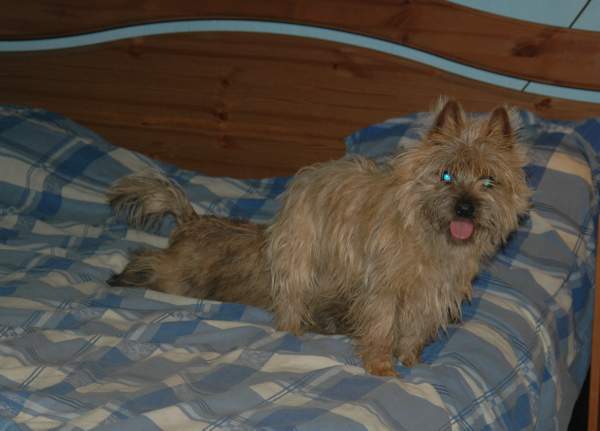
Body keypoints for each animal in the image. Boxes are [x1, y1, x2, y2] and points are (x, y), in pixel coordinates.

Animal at [107, 99, 531, 376]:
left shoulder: (431, 294)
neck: (429, 238)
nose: (465, 208)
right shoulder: (383, 290)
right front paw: (381, 366)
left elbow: (414, 328)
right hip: (291, 261)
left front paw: (410, 359)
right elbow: (381, 326)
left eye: (489, 181)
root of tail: (191, 221)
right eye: (445, 175)